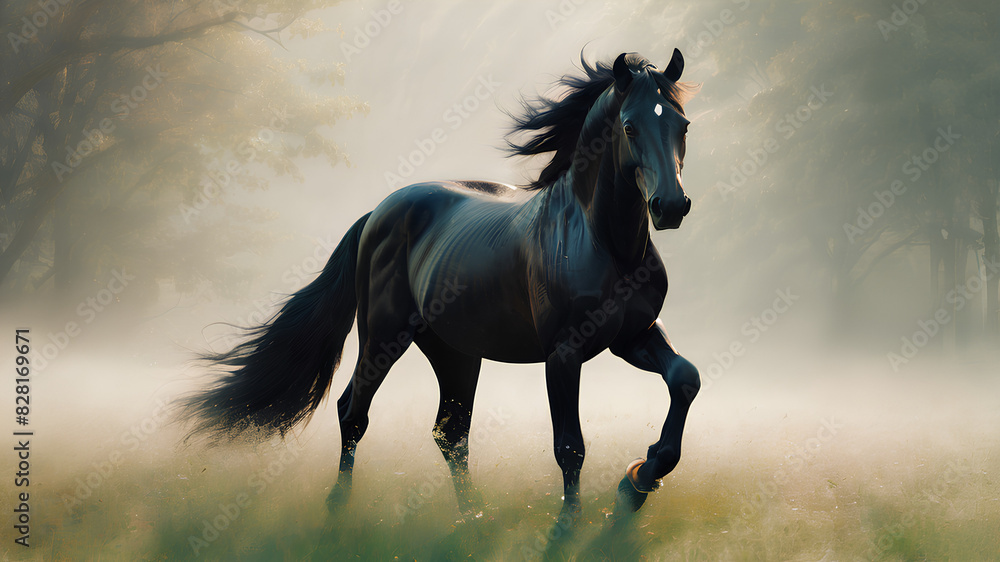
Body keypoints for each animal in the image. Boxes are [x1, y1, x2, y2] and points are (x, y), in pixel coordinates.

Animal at [179, 49, 700, 521]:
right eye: (630, 127)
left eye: (683, 126)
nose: (671, 207)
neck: (605, 245)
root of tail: (378, 213)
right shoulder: (564, 352)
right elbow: (570, 447)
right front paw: (568, 528)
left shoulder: (631, 337)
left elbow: (685, 378)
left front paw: (640, 478)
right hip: (383, 336)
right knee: (353, 411)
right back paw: (338, 509)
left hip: (455, 352)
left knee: (451, 434)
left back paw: (472, 518)